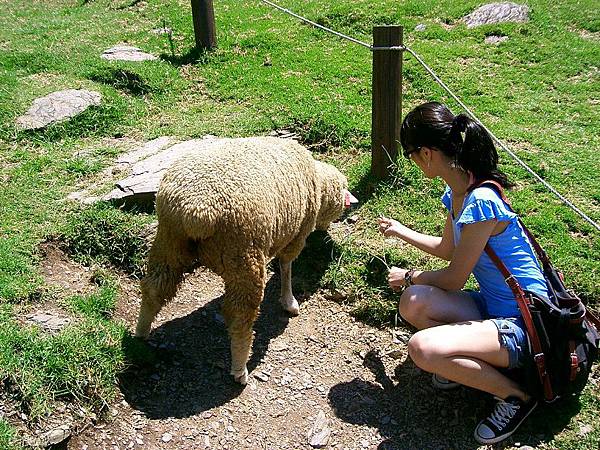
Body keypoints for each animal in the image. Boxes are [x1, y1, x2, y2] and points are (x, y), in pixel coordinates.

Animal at [135, 136, 356, 384]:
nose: (327, 231)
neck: (318, 182)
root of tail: (197, 211)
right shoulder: (295, 235)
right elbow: (286, 266)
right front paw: (289, 301)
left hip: (169, 242)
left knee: (154, 288)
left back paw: (141, 334)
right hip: (243, 255)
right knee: (240, 315)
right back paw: (240, 368)